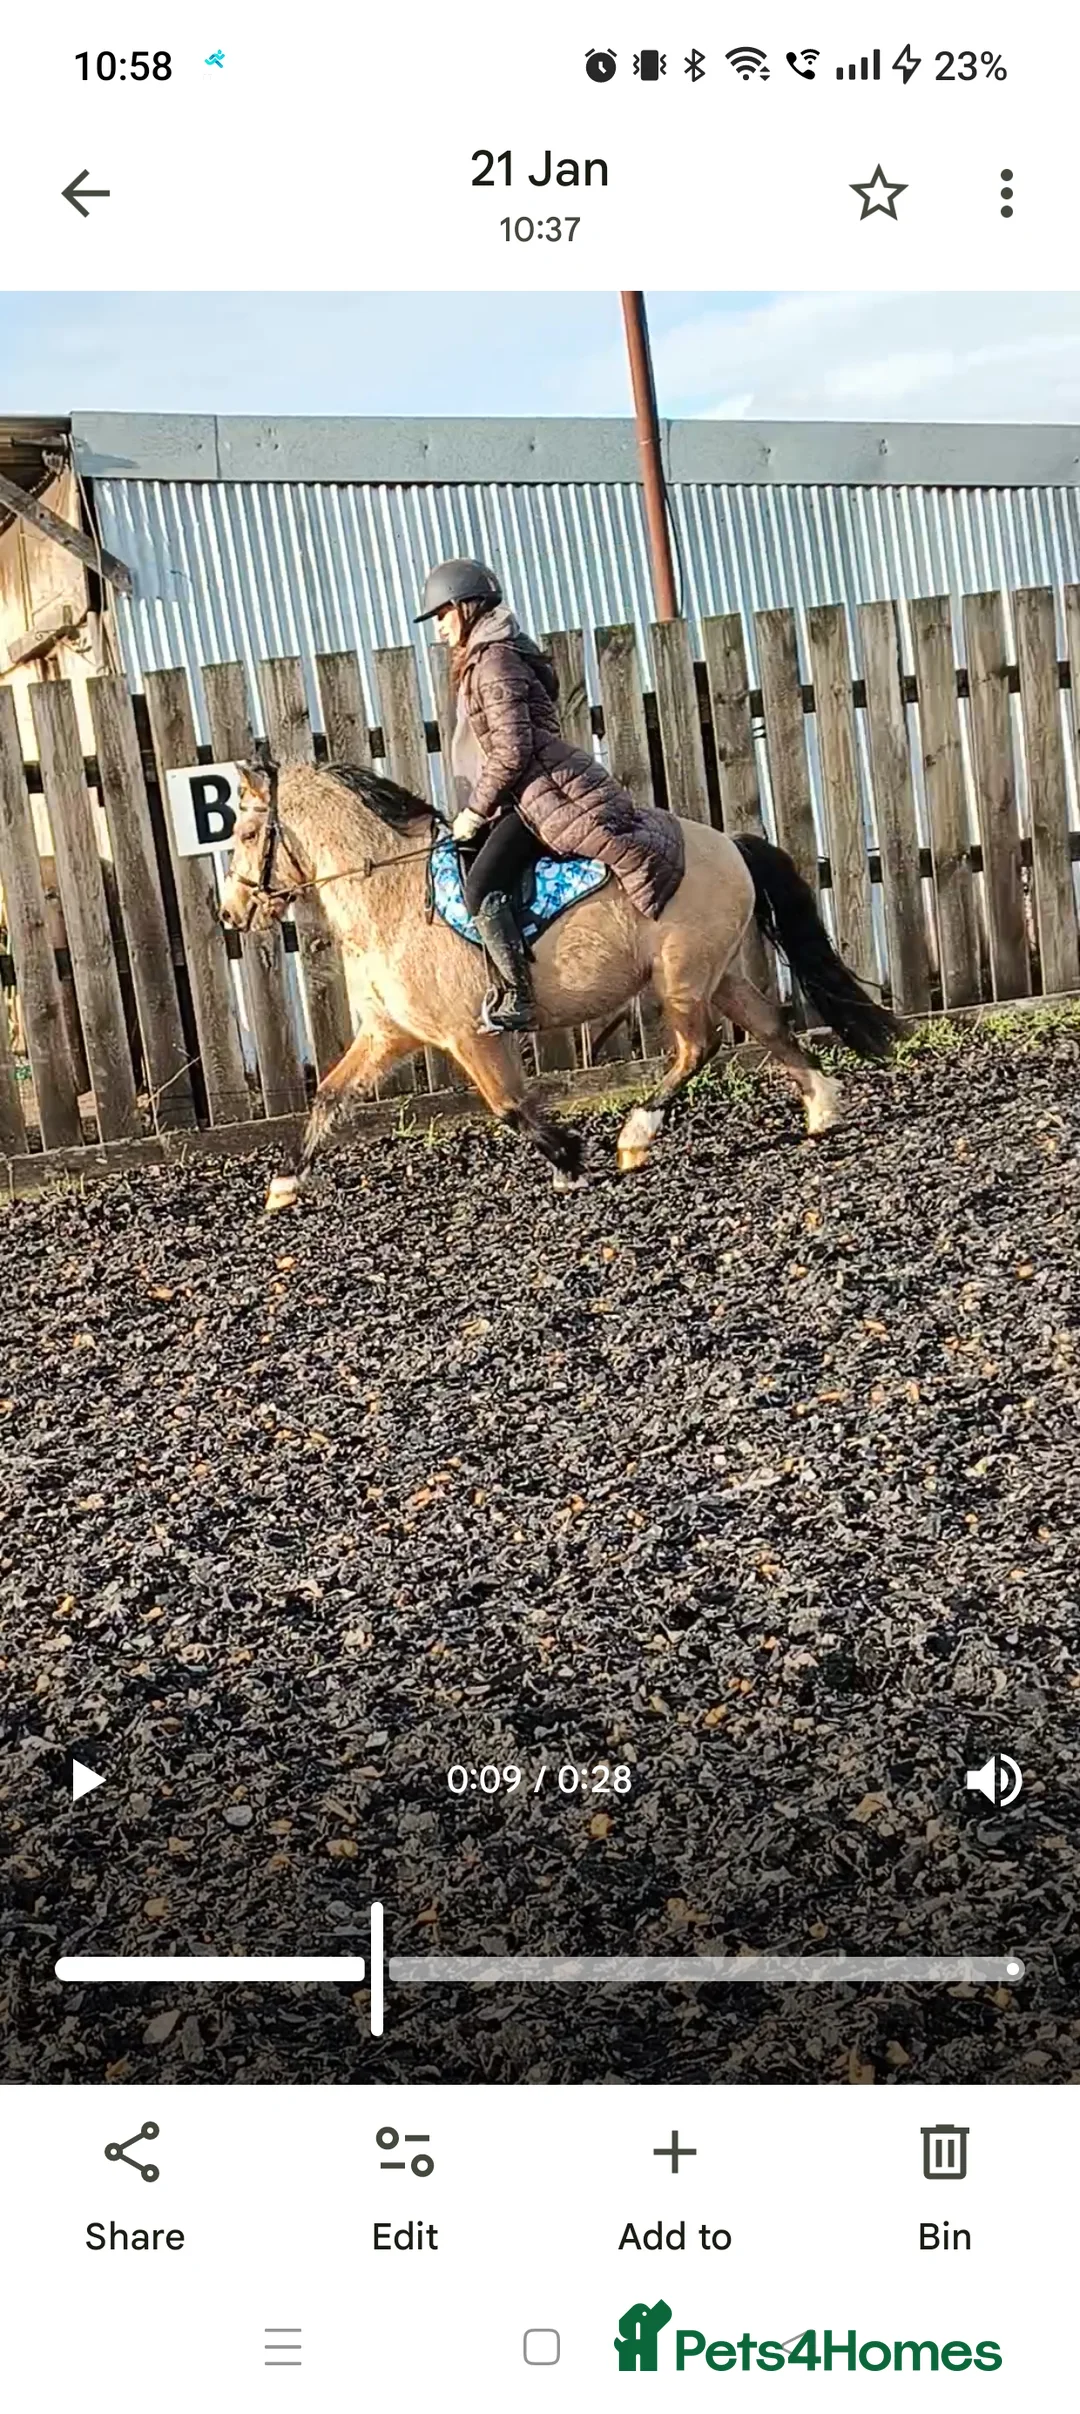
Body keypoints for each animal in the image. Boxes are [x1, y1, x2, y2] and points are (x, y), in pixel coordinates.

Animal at [217, 761, 895, 1210]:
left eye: (247, 835)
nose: (230, 914)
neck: (393, 898)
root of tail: (729, 843)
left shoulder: (471, 1036)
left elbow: (508, 1105)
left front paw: (571, 1160)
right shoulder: (389, 1034)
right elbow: (329, 1096)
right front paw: (284, 1184)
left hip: (681, 979)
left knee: (699, 1046)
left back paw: (635, 1136)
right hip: (717, 974)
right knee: (770, 1026)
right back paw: (823, 1107)